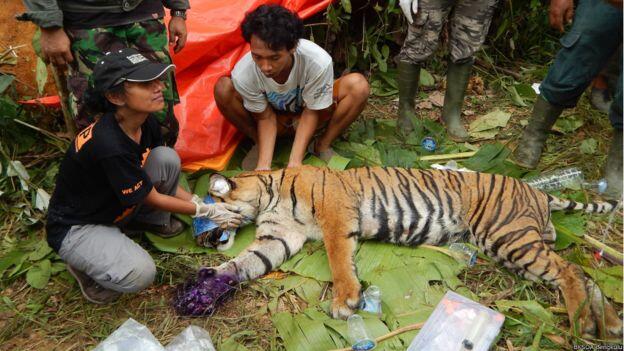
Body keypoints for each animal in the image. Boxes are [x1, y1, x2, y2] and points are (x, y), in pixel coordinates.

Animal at [204, 166, 620, 340]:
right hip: (515, 248)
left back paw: (582, 323)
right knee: (583, 274)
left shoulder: (335, 212)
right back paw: (610, 324)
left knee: (570, 271)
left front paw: (345, 300)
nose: (207, 239)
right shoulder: (277, 237)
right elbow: (246, 262)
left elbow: (338, 257)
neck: (268, 195)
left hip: (509, 237)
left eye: (208, 209)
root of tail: (538, 191)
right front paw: (209, 283)